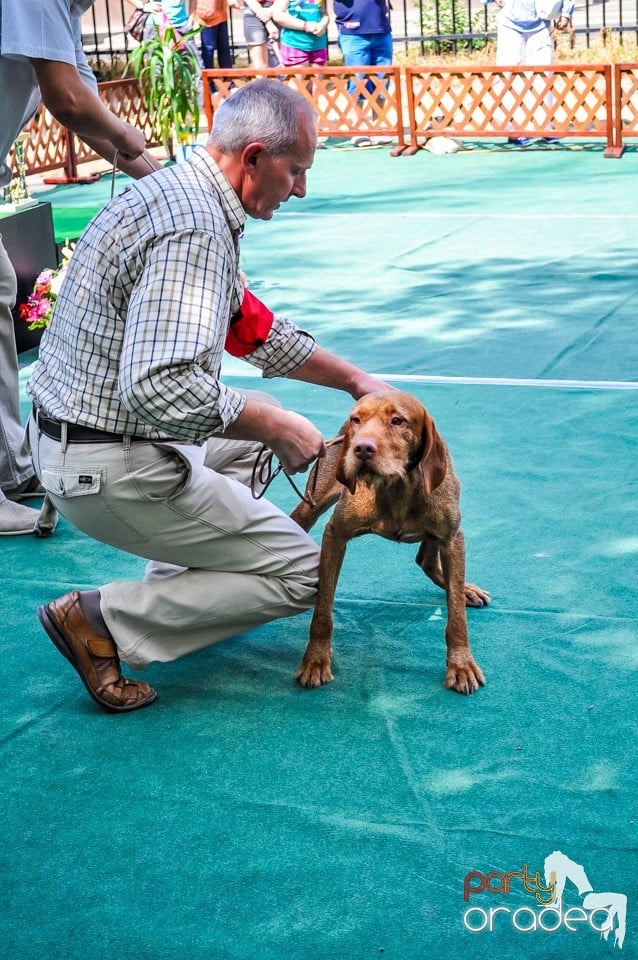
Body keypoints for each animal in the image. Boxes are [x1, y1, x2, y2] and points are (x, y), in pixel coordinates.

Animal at [292, 390, 492, 696]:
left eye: (397, 420)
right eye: (357, 420)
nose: (361, 448)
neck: (397, 487)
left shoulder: (451, 538)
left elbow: (456, 615)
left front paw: (461, 665)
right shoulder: (335, 535)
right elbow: (323, 610)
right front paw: (315, 660)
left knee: (429, 563)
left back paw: (463, 588)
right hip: (311, 503)